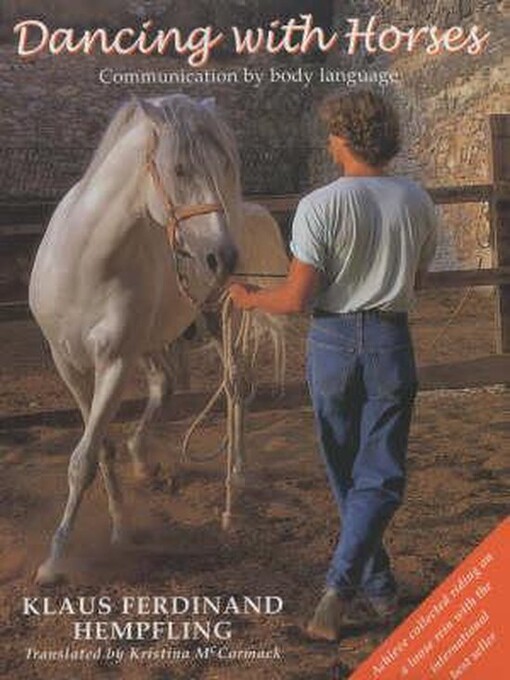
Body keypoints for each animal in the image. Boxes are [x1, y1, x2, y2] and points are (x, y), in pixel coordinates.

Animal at [28, 94, 289, 585]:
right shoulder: (68, 364)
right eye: (180, 169)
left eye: (225, 166)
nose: (222, 257)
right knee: (166, 387)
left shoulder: (115, 362)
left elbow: (83, 459)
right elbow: (99, 447)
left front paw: (56, 558)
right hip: (162, 340)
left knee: (236, 385)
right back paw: (145, 461)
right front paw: (118, 525)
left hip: (221, 321)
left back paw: (238, 478)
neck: (86, 264)